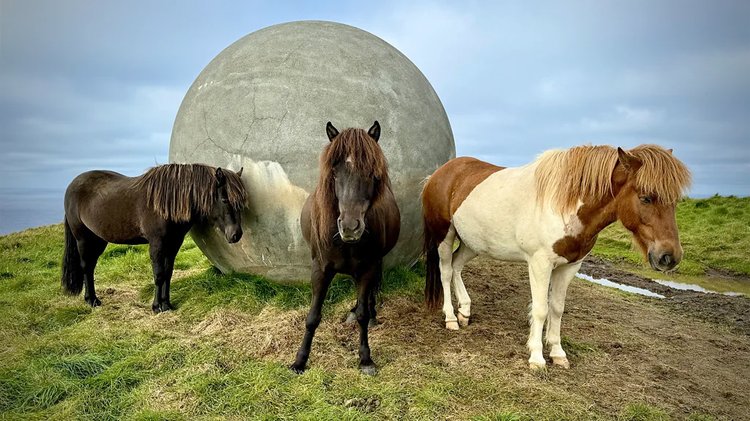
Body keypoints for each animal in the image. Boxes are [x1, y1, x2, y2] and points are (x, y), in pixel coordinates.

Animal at [61, 164, 245, 312]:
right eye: (224, 199)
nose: (236, 234)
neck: (167, 203)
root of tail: (72, 185)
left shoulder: (174, 243)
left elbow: (168, 273)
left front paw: (167, 304)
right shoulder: (157, 244)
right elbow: (158, 274)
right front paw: (157, 306)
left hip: (98, 240)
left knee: (91, 267)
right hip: (83, 239)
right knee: (86, 267)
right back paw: (92, 300)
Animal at [290, 120, 402, 374]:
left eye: (372, 172)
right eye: (334, 172)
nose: (350, 227)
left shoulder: (369, 267)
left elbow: (362, 314)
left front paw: (366, 359)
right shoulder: (320, 270)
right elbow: (312, 317)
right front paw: (300, 361)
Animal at [424, 144, 692, 368]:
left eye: (676, 201)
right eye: (646, 197)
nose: (670, 256)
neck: (566, 205)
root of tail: (438, 173)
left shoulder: (570, 266)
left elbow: (557, 308)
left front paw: (557, 352)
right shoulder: (539, 264)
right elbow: (541, 309)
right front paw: (536, 358)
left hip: (473, 243)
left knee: (457, 266)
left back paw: (465, 311)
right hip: (445, 236)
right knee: (446, 271)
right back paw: (451, 318)